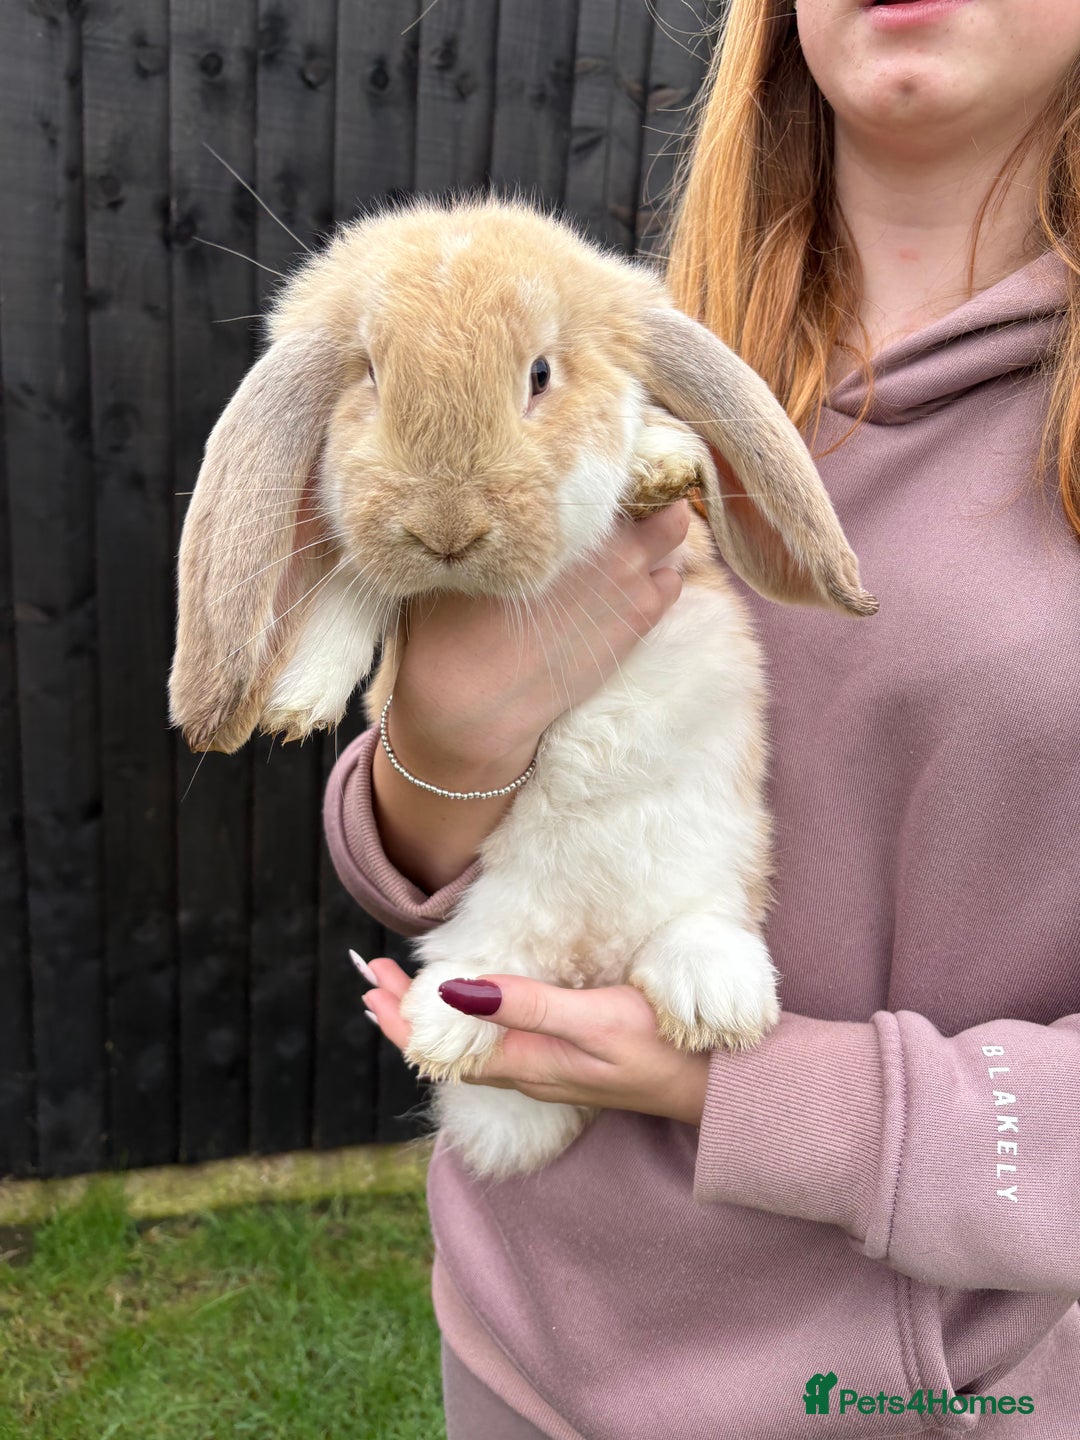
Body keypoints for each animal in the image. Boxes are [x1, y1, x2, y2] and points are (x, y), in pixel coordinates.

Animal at [169, 194, 877, 1182]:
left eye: (541, 373)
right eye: (371, 376)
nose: (447, 527)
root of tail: (588, 957)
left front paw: (659, 462)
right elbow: (355, 581)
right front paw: (297, 698)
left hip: (720, 864)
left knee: (699, 930)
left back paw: (716, 1001)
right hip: (494, 924)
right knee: (492, 968)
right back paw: (446, 1025)